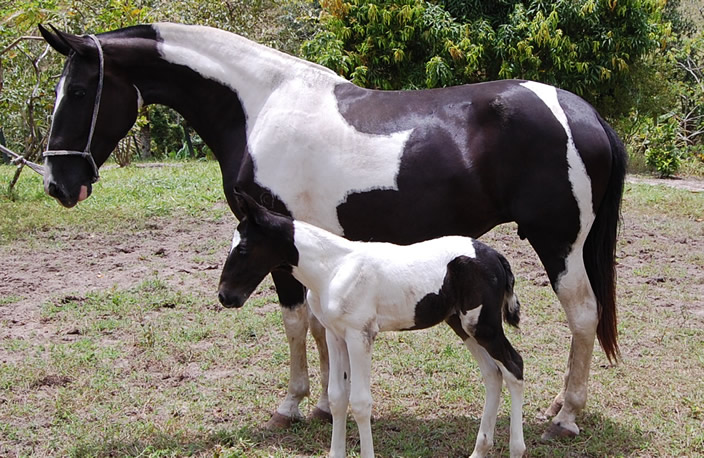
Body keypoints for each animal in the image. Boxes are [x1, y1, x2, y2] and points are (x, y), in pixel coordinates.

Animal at [217, 191, 524, 458]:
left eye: (243, 248)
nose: (225, 296)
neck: (334, 268)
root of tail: (496, 257)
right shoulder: (335, 335)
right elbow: (337, 397)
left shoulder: (359, 335)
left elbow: (361, 402)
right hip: (464, 326)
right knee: (492, 374)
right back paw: (479, 450)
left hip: (484, 326)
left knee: (514, 366)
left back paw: (516, 449)